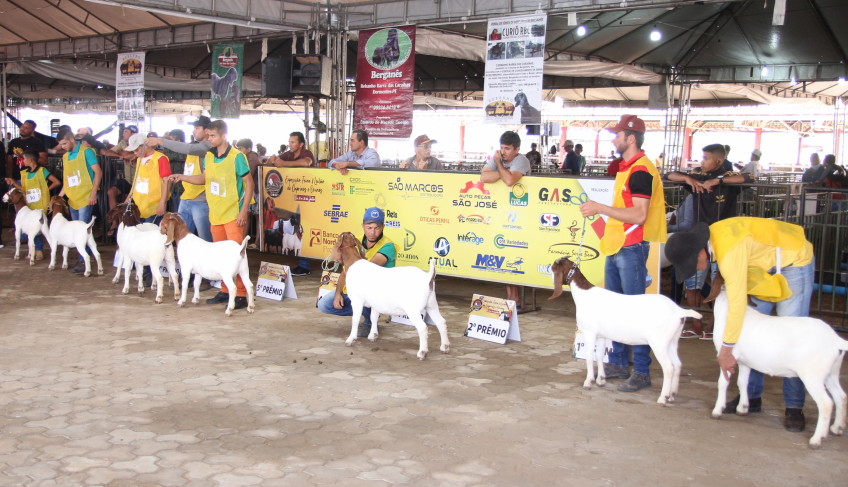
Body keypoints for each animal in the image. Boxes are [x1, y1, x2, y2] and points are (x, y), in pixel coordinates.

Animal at [328, 233, 450, 362]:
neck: (353, 262)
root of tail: (428, 277)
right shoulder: (375, 303)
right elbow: (373, 317)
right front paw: (373, 336)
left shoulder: (357, 300)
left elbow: (355, 320)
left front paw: (350, 339)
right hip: (431, 304)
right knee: (441, 322)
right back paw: (445, 347)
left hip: (413, 309)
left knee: (422, 328)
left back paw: (422, 353)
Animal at [548, 258, 704, 406]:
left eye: (554, 267)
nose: (548, 269)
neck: (584, 294)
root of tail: (678, 311)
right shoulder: (601, 335)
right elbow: (599, 355)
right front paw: (601, 379)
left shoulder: (590, 332)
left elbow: (589, 356)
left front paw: (588, 381)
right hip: (672, 341)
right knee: (677, 364)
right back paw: (672, 395)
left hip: (659, 343)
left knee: (669, 367)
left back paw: (663, 398)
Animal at [704, 272, 844, 448]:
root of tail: (836, 340)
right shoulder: (744, 362)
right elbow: (743, 382)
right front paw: (742, 408)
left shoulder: (727, 356)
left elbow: (723, 382)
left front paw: (717, 410)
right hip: (831, 373)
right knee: (841, 396)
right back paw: (837, 428)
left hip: (813, 376)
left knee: (826, 404)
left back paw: (816, 439)